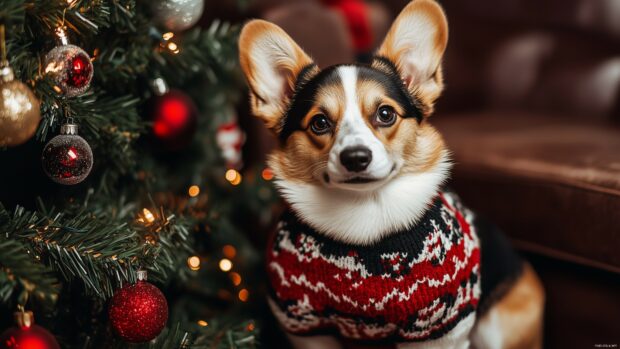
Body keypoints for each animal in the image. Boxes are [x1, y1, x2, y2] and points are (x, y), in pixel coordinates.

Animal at [240, 1, 544, 346]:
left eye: (385, 114)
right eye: (319, 123)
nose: (355, 158)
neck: (363, 210)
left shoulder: (440, 329)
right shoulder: (306, 327)